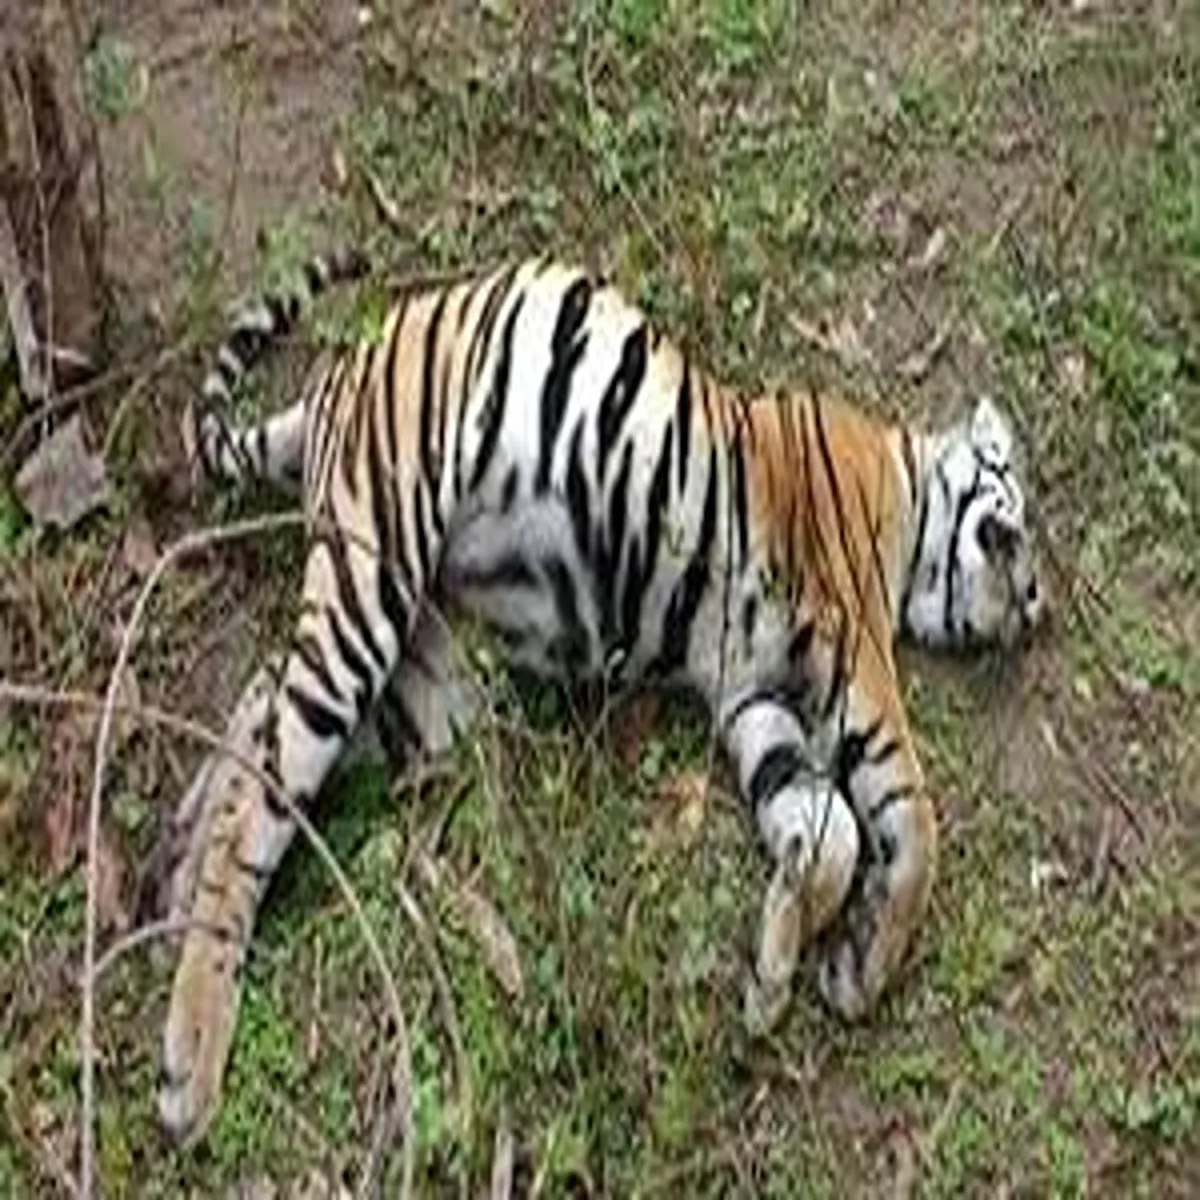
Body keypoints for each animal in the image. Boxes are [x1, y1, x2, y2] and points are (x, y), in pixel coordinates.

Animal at [158, 248, 1044, 1143]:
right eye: (1017, 500)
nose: (1036, 603)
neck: (907, 488)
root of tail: (339, 376)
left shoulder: (751, 697)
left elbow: (827, 829)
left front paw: (776, 969)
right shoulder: (851, 641)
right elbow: (911, 814)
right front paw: (864, 969)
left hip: (436, 682)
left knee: (262, 708)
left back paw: (177, 863)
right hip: (376, 572)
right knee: (260, 802)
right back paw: (189, 1062)